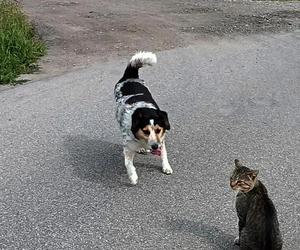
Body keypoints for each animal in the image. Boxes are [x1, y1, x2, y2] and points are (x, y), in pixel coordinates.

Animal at [113, 51, 172, 185]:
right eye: (145, 131)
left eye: (158, 130)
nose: (155, 146)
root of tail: (130, 76)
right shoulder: (128, 148)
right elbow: (128, 164)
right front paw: (133, 177)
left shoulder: (161, 140)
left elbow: (164, 154)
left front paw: (166, 166)